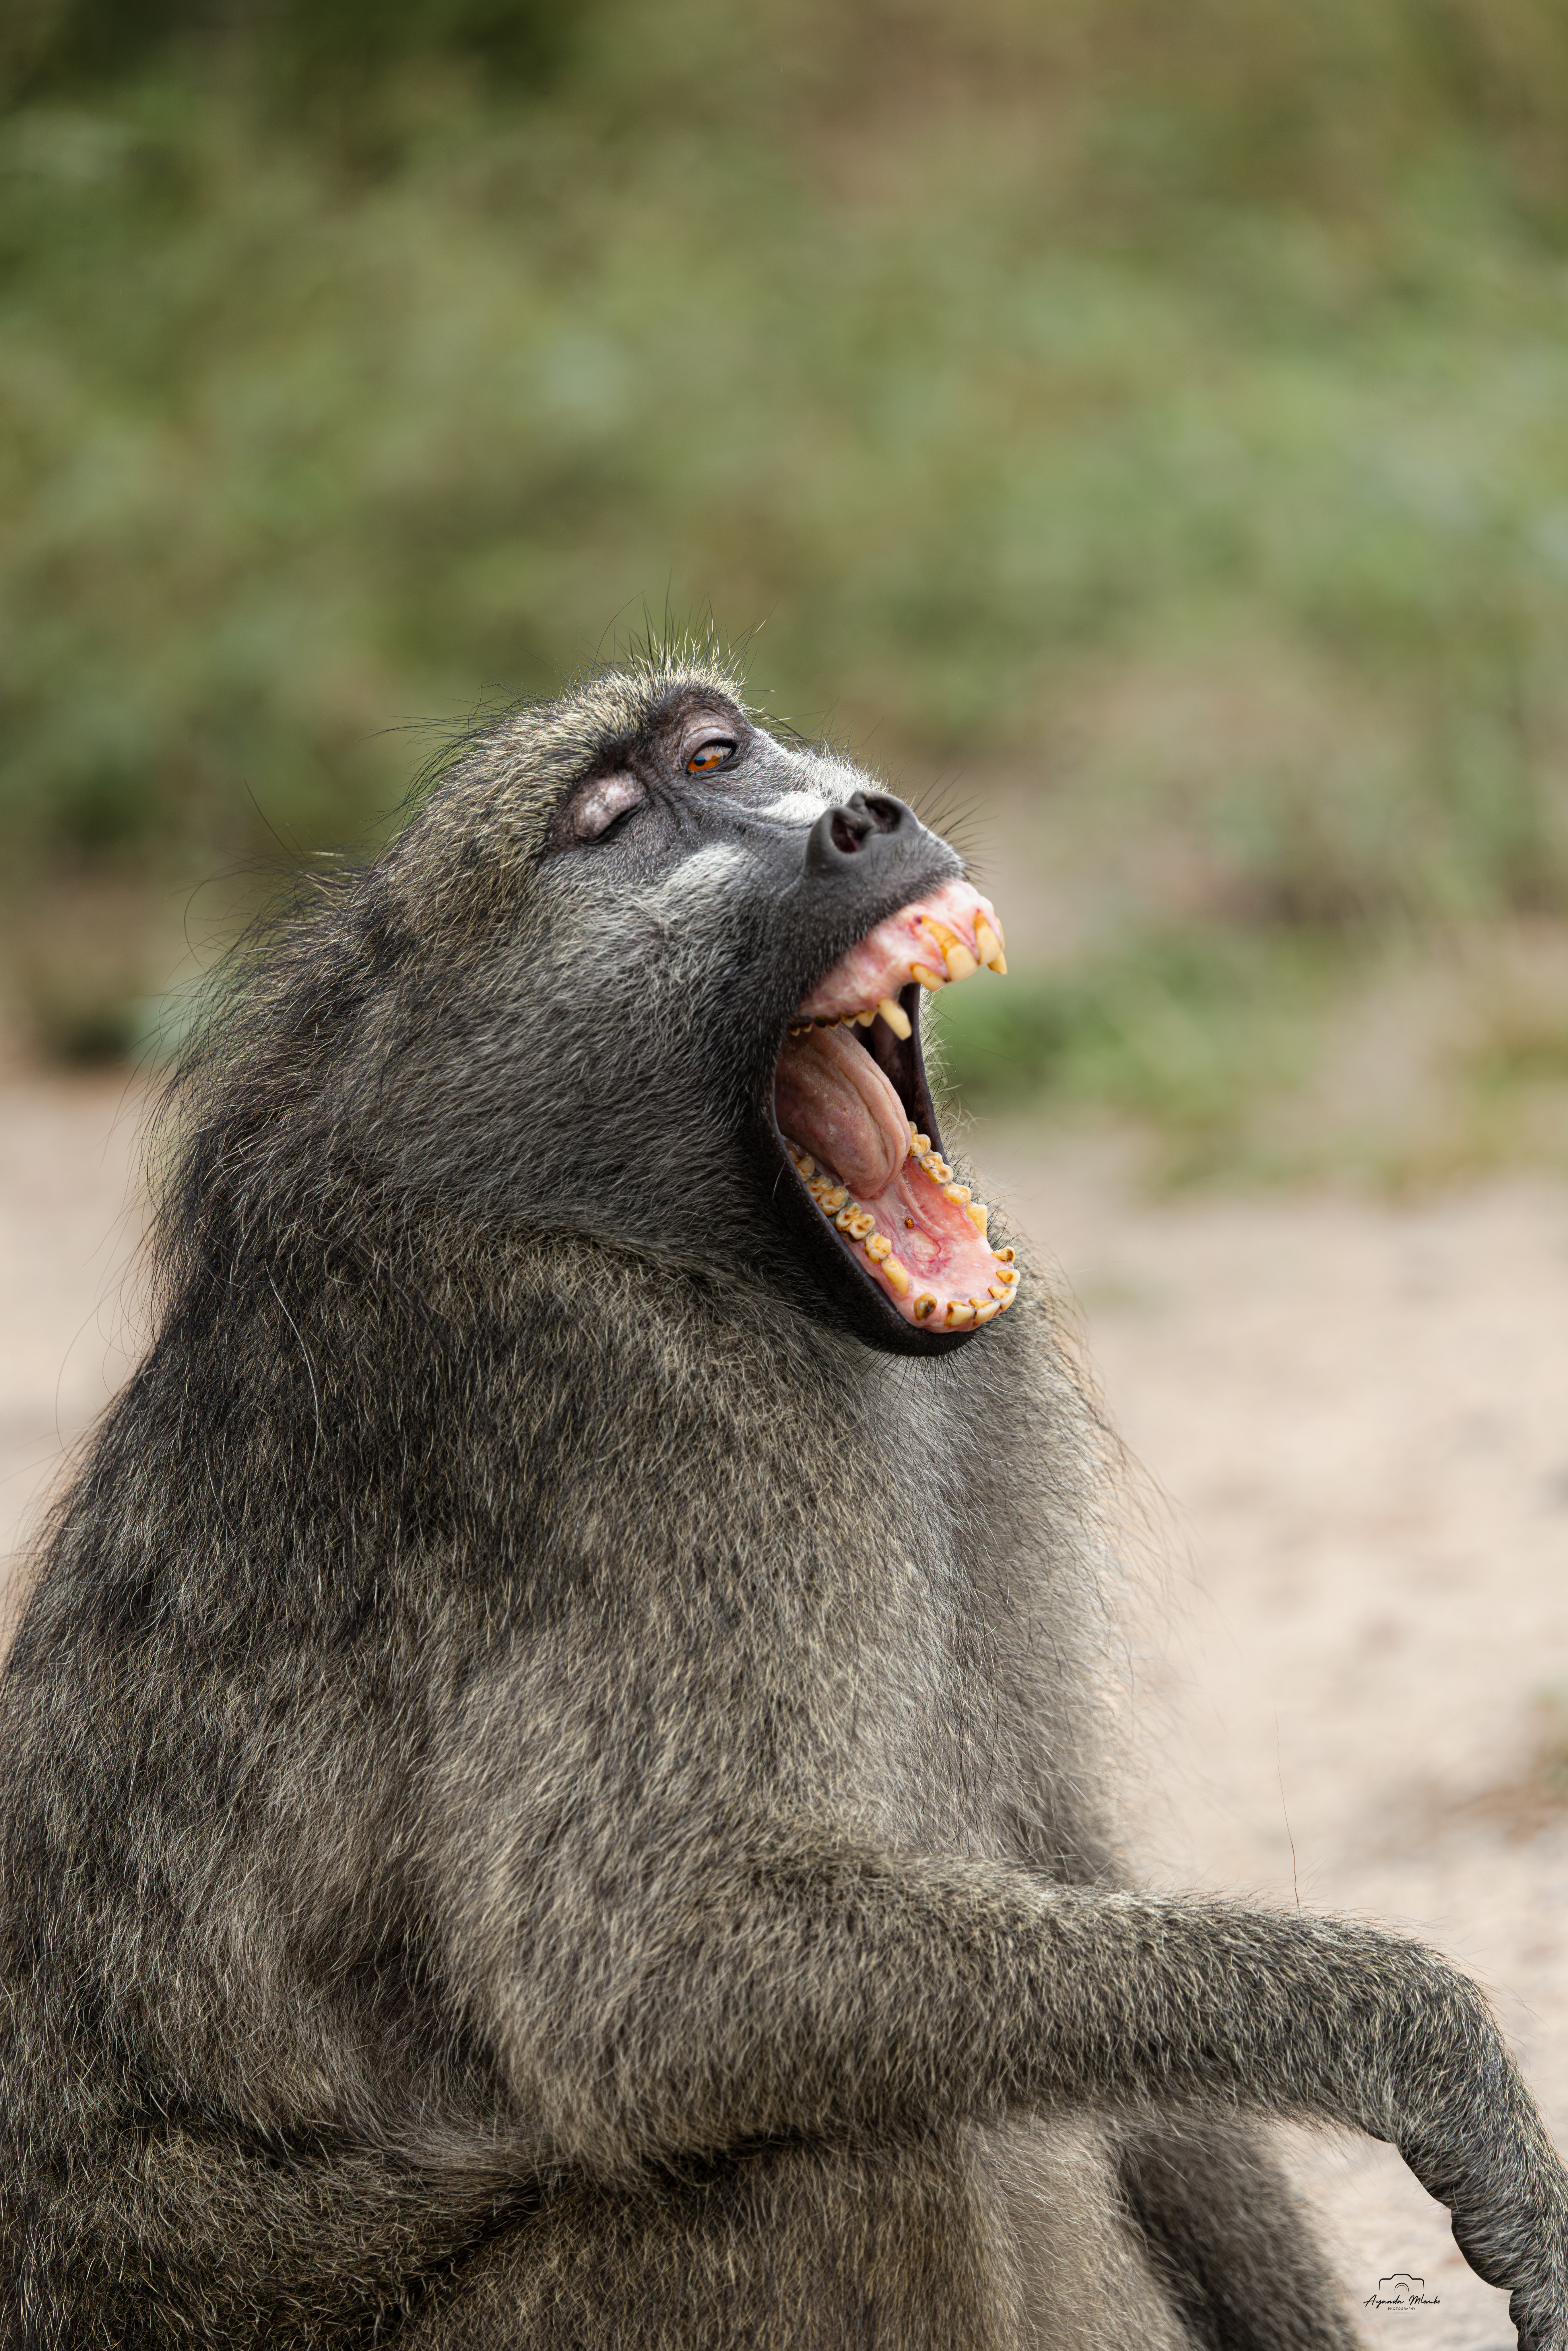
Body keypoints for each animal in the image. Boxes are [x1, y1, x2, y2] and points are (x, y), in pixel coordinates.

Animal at [1, 647, 1564, 2350]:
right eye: (613, 819)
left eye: (717, 751)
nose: (859, 818)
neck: (639, 1230)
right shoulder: (627, 1421)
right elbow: (639, 1973)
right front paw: (1414, 2043)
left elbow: (1063, 1868)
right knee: (854, 2157)